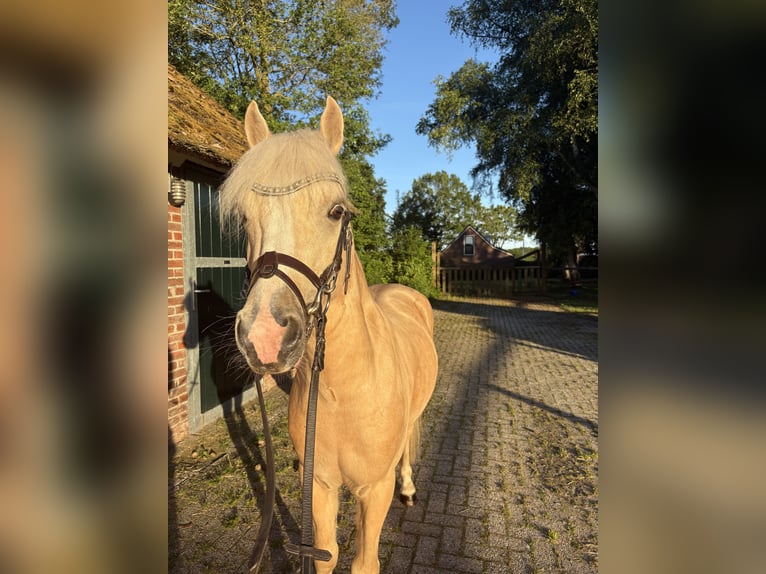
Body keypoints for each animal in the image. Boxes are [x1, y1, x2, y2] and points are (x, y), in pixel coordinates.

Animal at [218, 96, 438, 574]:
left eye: (337, 211)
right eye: (244, 216)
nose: (265, 336)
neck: (343, 391)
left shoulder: (373, 492)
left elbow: (363, 562)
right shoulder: (317, 485)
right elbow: (326, 554)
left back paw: (409, 488)